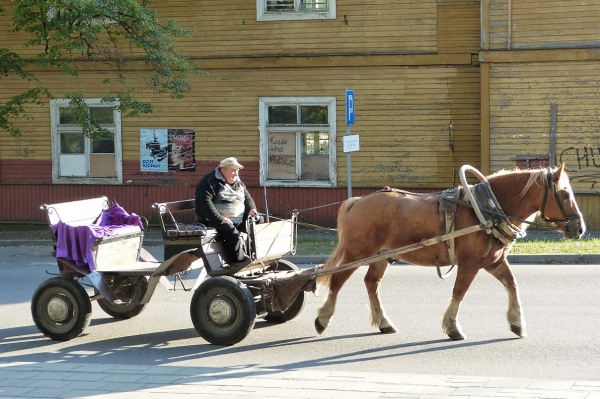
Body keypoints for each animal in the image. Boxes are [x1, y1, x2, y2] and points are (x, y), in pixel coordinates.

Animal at [316, 164, 584, 342]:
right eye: (564, 194)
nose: (579, 228)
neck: (488, 209)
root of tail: (359, 200)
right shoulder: (470, 264)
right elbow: (459, 292)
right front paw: (453, 327)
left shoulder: (494, 261)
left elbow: (512, 284)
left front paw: (517, 322)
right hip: (357, 252)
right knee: (337, 281)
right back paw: (323, 318)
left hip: (381, 256)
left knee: (371, 283)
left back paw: (384, 322)